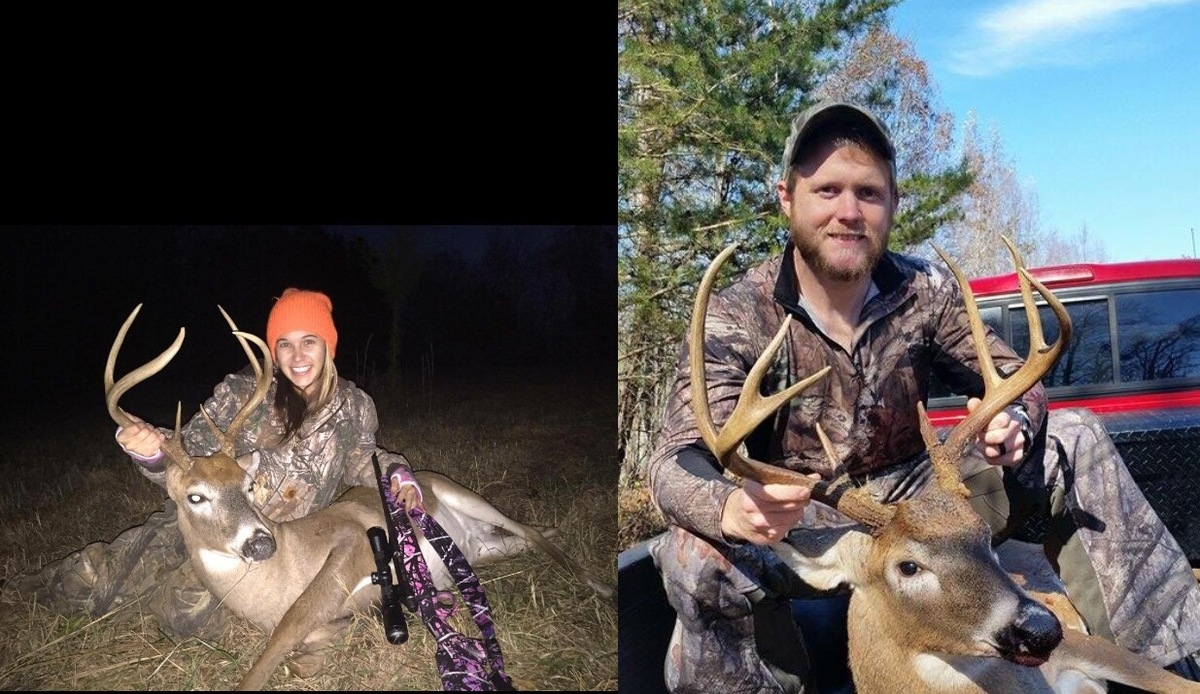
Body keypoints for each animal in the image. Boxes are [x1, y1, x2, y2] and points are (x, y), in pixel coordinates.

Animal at [103, 304, 614, 686]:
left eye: (246, 486)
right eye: (195, 496)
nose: (260, 542)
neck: (274, 578)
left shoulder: (348, 541)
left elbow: (290, 629)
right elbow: (306, 643)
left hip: (460, 492)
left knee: (527, 527)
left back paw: (599, 583)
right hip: (481, 550)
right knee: (520, 539)